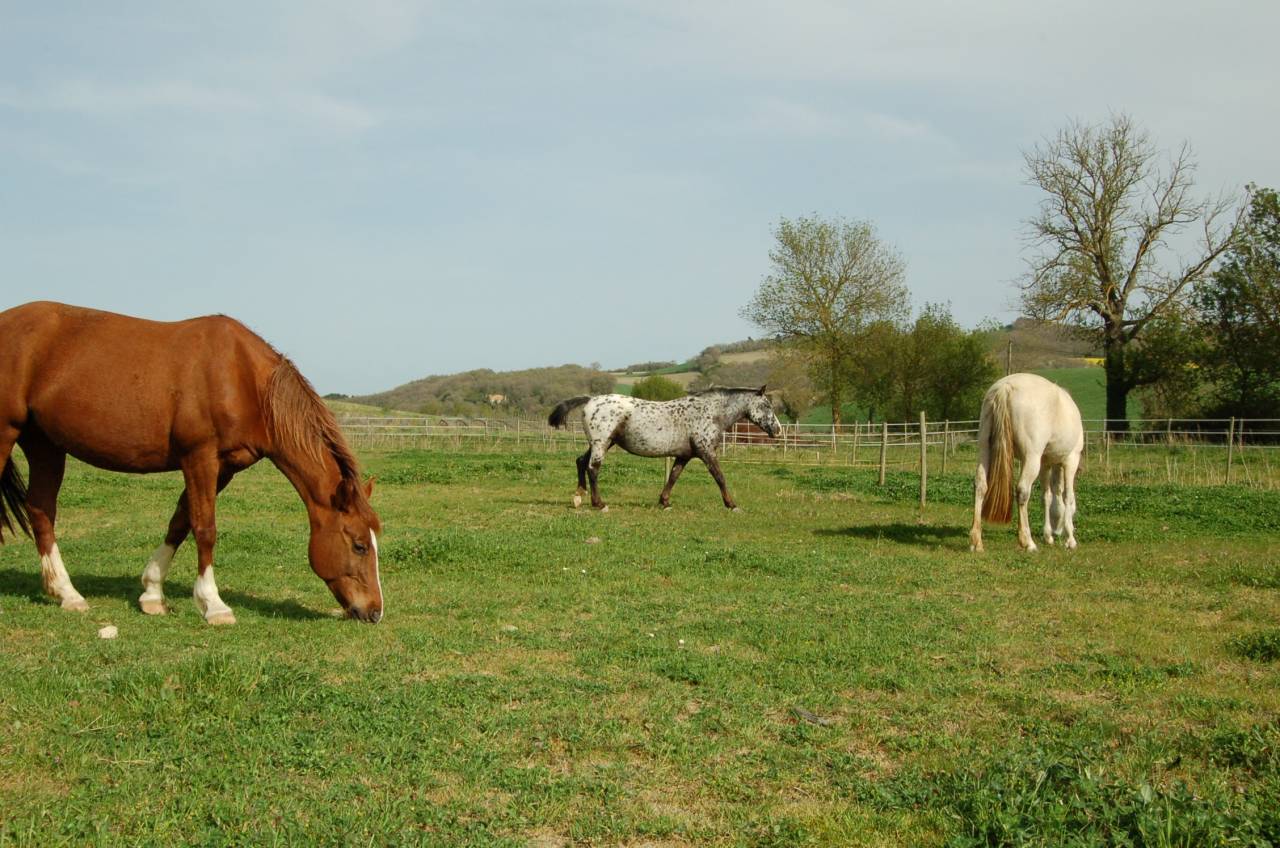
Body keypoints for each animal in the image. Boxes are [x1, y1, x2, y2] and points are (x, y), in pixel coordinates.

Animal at [0, 301, 383, 624]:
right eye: (359, 545)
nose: (374, 611)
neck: (241, 377)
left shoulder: (223, 468)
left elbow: (181, 521)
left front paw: (152, 593)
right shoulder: (199, 458)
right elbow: (205, 528)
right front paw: (213, 604)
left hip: (45, 445)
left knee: (41, 510)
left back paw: (67, 593)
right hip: (6, 433)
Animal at [547, 386, 782, 511]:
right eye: (766, 406)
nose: (778, 430)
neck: (710, 413)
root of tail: (591, 399)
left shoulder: (684, 456)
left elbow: (673, 476)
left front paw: (664, 501)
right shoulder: (706, 452)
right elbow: (719, 476)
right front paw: (731, 504)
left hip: (602, 443)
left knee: (580, 462)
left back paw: (578, 496)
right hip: (601, 443)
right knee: (593, 468)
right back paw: (599, 503)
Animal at [970, 372, 1084, 553]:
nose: (1057, 533)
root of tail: (1006, 387)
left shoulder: (1046, 464)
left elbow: (1047, 496)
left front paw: (1048, 536)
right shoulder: (1071, 460)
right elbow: (1068, 496)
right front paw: (1070, 539)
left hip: (984, 451)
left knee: (980, 486)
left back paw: (977, 542)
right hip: (1031, 459)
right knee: (1023, 491)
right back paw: (1027, 542)